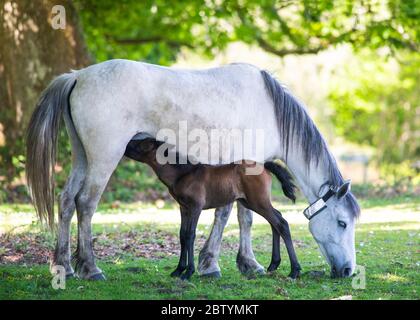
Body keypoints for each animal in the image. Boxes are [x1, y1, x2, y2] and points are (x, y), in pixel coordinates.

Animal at [124, 138, 302, 280]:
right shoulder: (184, 208)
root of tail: (264, 165)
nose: (125, 146)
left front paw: (188, 272)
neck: (184, 174)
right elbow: (182, 235)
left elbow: (190, 235)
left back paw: (294, 270)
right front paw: (178, 270)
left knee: (281, 223)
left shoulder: (195, 208)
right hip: (251, 202)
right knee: (275, 222)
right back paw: (274, 265)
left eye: (140, 144)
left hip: (258, 202)